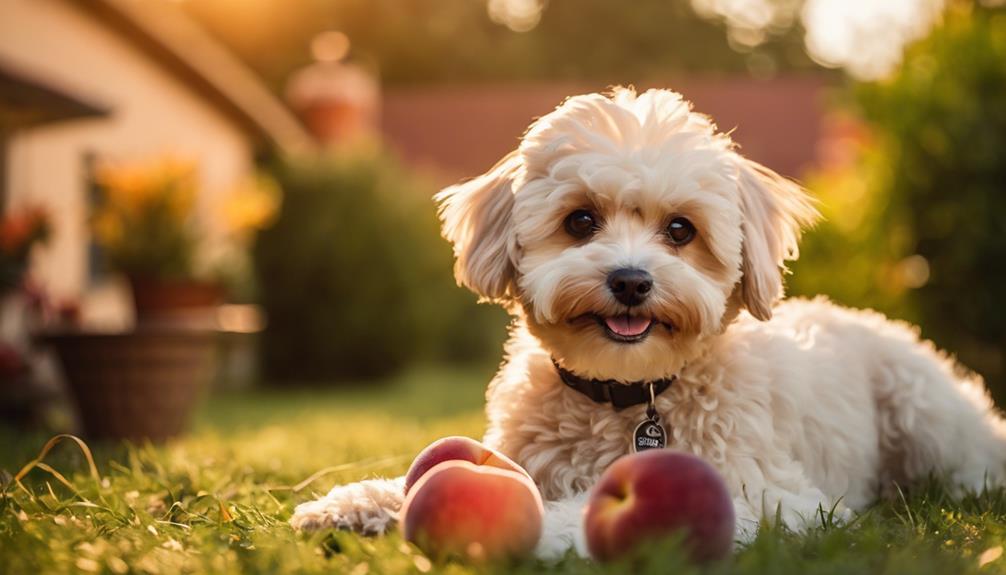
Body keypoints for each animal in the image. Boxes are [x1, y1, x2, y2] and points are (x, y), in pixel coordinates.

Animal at [289, 87, 1006, 558]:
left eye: (681, 230)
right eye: (580, 220)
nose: (631, 281)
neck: (629, 393)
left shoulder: (772, 496)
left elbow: (576, 510)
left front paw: (543, 528)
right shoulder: (520, 456)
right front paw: (353, 503)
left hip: (926, 417)